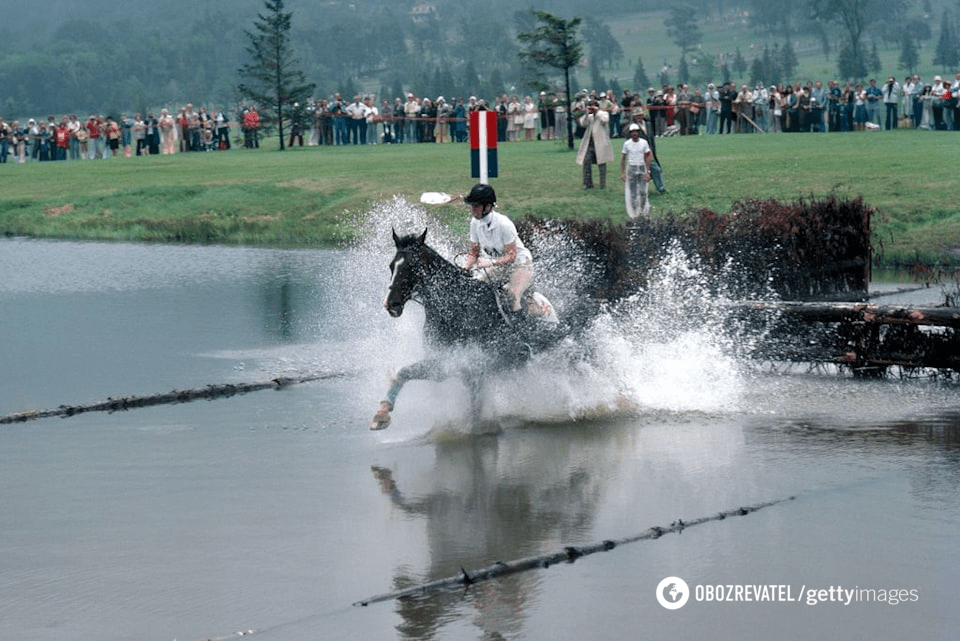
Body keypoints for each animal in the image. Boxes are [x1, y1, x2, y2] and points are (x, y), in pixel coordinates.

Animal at [368, 230, 564, 430]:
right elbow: (403, 373)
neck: (455, 306)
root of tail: (549, 308)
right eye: (391, 266)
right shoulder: (450, 363)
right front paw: (381, 415)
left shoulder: (460, 363)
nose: (391, 304)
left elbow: (405, 372)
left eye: (412, 266)